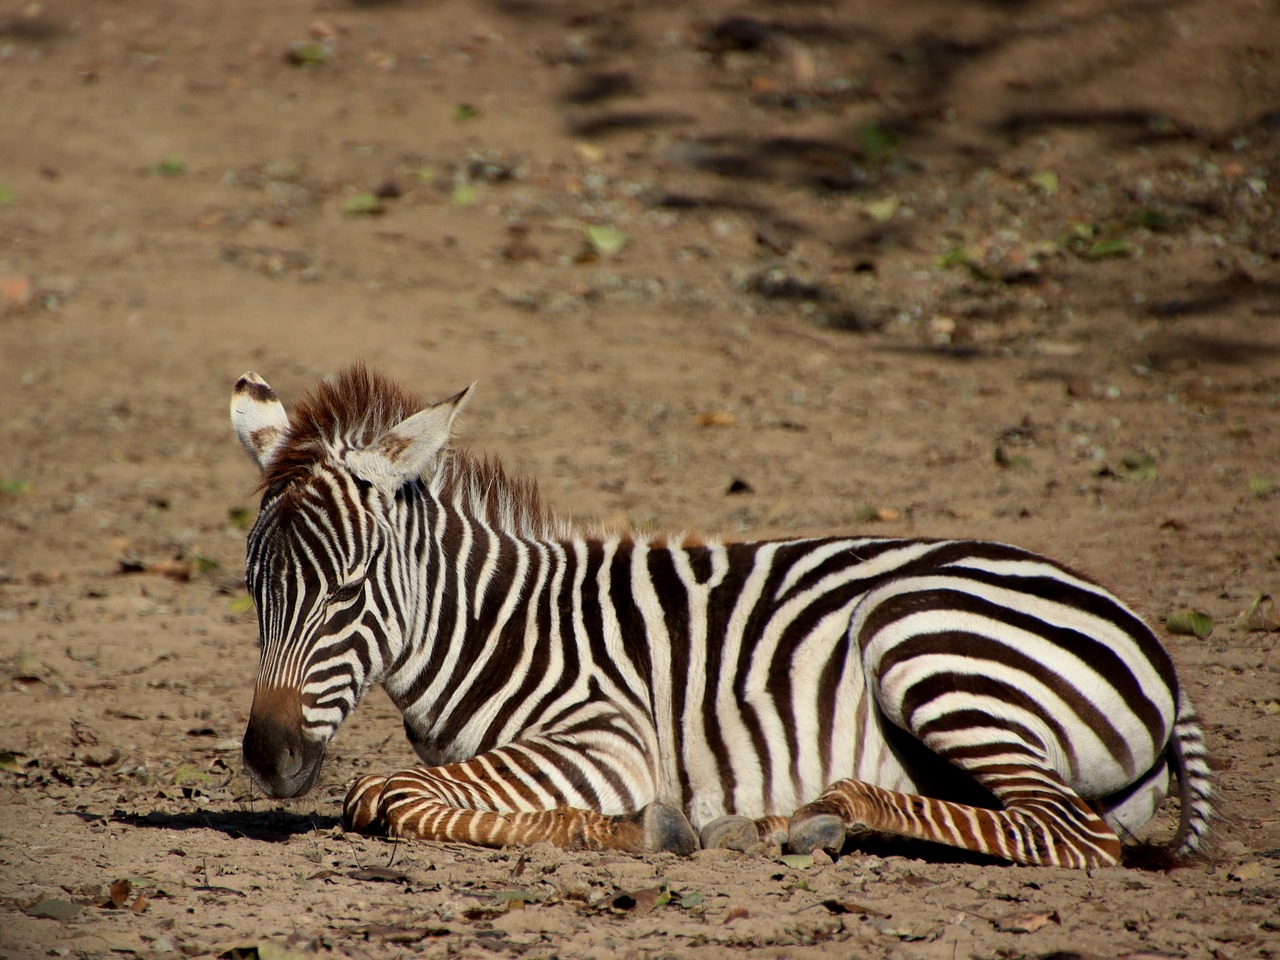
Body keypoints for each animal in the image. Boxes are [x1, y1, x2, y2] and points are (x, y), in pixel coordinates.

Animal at [232, 363, 1218, 870]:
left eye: (348, 590)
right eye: (253, 591)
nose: (268, 761)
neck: (495, 627)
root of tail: (1153, 647)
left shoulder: (609, 738)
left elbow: (385, 794)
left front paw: (644, 826)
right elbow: (407, 790)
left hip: (923, 639)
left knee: (1070, 834)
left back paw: (814, 815)